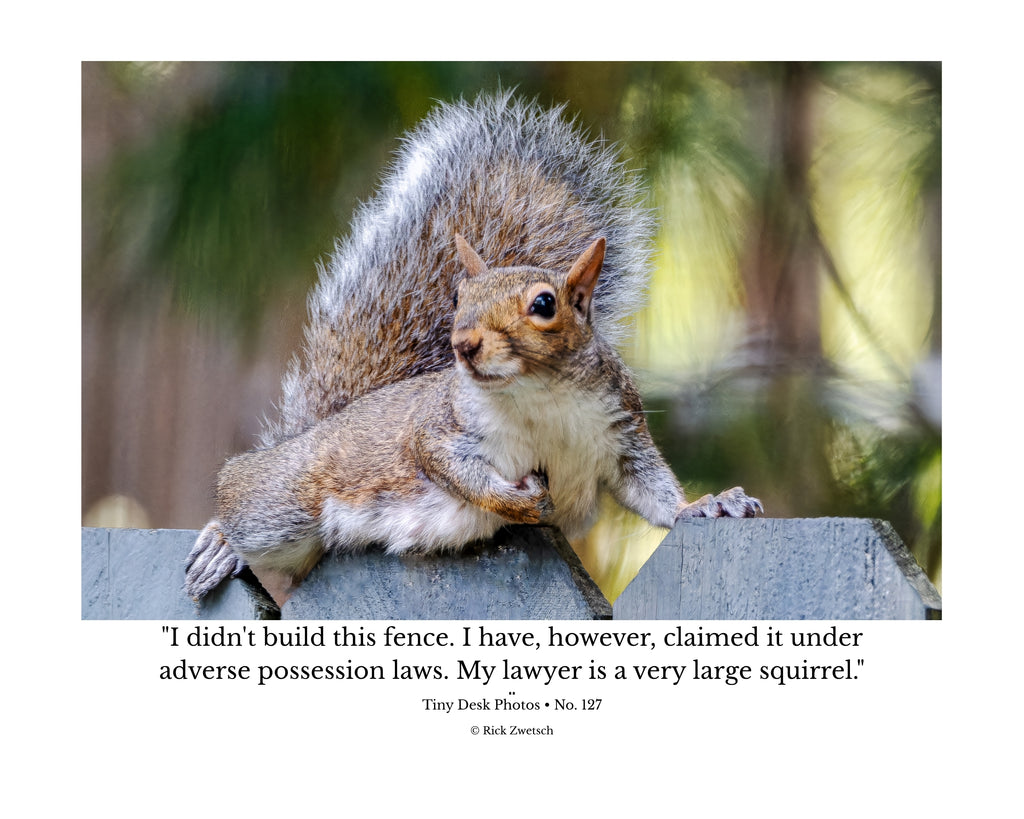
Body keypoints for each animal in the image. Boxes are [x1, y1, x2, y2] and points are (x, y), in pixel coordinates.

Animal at [184, 91, 762, 601]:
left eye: (545, 304)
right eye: (459, 296)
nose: (461, 342)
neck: (541, 396)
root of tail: (314, 431)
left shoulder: (622, 433)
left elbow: (652, 491)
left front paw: (705, 506)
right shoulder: (438, 429)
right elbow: (446, 464)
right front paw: (514, 503)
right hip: (285, 501)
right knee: (240, 496)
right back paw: (220, 545)